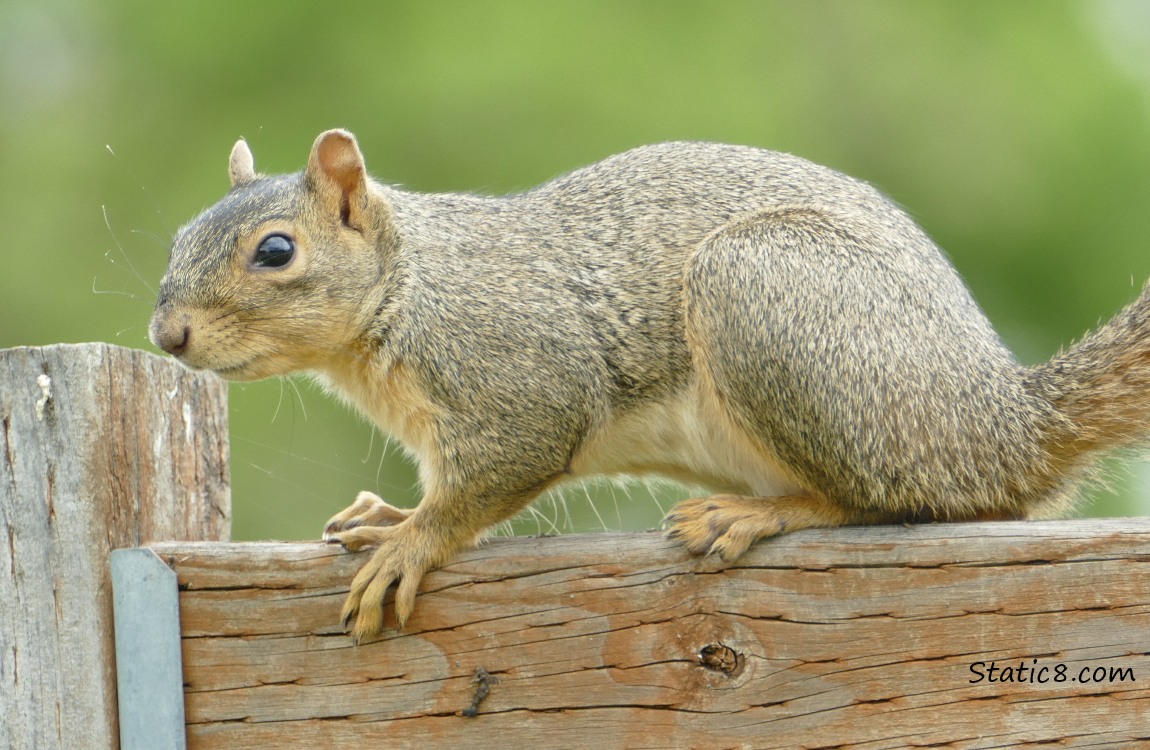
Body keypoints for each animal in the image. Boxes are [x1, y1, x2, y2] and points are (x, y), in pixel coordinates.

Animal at [148, 128, 1150, 644]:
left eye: (276, 251)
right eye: (180, 236)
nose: (167, 335)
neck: (412, 282)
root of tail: (1008, 416)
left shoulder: (521, 379)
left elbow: (492, 477)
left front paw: (410, 541)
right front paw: (387, 517)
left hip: (763, 291)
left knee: (911, 498)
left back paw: (759, 512)